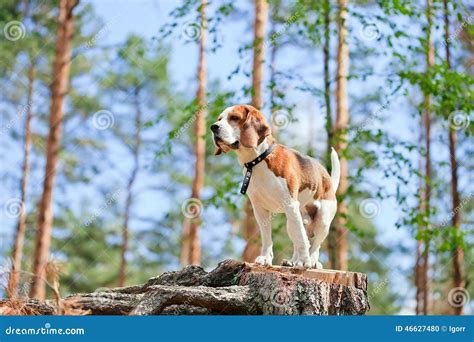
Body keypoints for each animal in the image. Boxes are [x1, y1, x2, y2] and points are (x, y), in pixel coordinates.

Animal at [209, 105, 338, 270]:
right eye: (219, 119)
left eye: (235, 118)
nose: (213, 127)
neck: (257, 161)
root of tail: (327, 178)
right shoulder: (260, 209)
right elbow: (267, 237)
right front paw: (265, 258)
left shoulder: (290, 205)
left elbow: (302, 239)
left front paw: (304, 261)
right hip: (293, 220)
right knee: (298, 238)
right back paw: (292, 261)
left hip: (322, 219)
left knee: (314, 244)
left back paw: (312, 261)